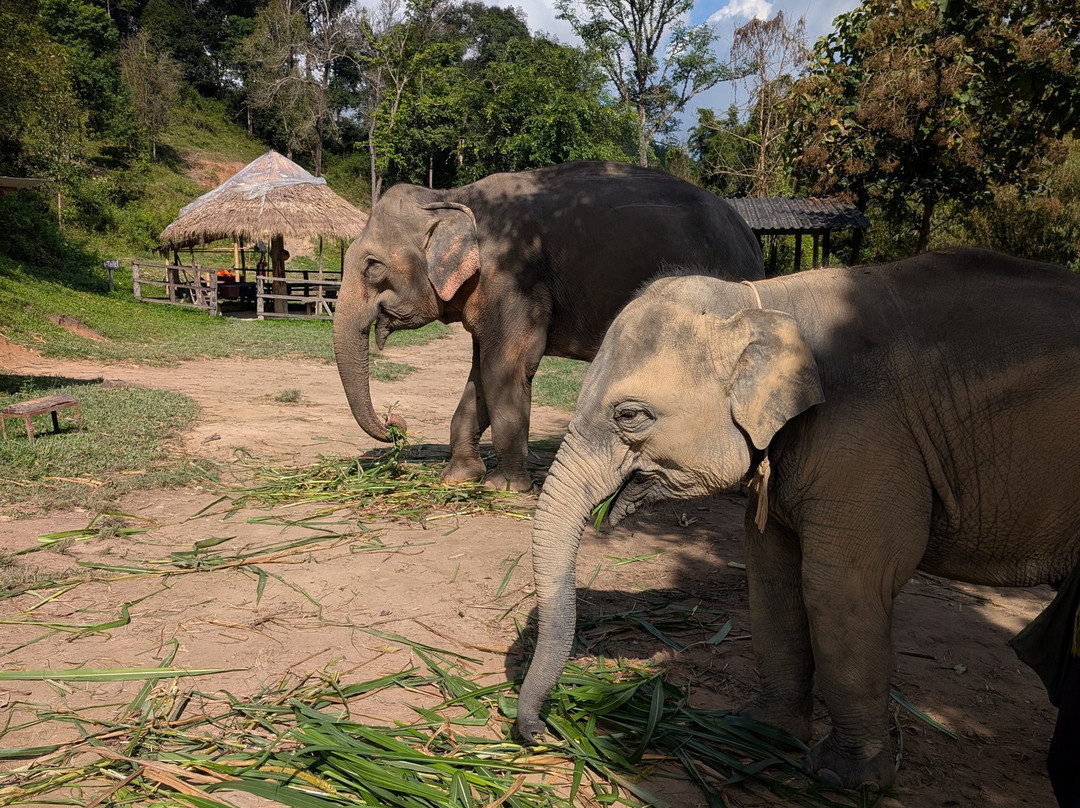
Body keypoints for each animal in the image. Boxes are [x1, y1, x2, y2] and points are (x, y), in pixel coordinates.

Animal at [333, 161, 764, 491]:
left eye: (372, 266)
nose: (396, 425)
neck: (454, 196)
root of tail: (751, 237)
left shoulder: (514, 278)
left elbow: (505, 369)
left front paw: (505, 488)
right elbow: (481, 374)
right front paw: (457, 477)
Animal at [515, 247, 1080, 791]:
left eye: (630, 415)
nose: (538, 732)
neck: (768, 303)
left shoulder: (866, 439)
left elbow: (838, 588)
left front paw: (841, 776)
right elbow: (771, 576)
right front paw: (758, 731)